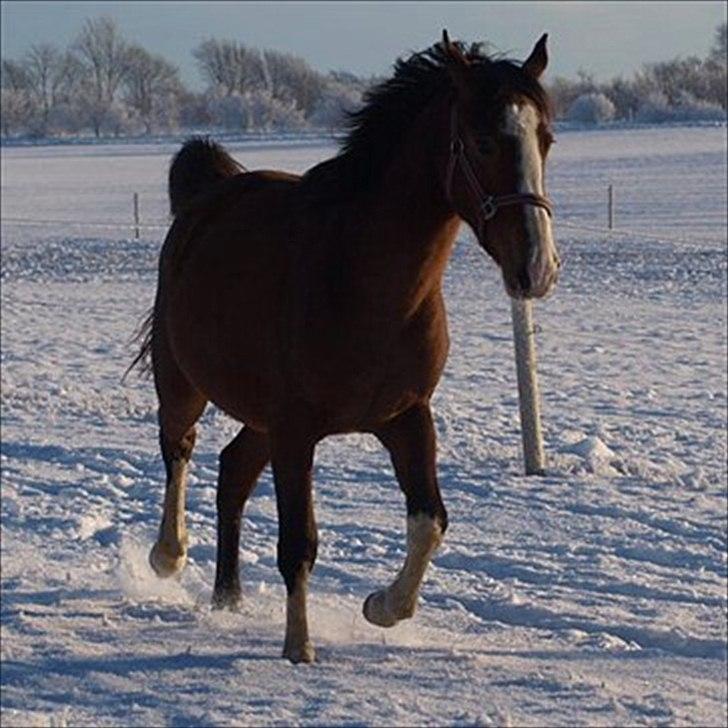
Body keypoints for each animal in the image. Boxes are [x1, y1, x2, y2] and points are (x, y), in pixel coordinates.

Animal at [131, 31, 560, 664]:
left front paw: (382, 607)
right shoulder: (295, 430)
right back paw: (169, 554)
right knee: (179, 450)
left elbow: (431, 521)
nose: (537, 268)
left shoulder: (406, 418)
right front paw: (298, 647)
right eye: (484, 141)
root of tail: (207, 195)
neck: (363, 283)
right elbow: (299, 543)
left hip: (260, 421)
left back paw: (228, 597)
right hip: (183, 384)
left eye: (545, 139)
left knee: (232, 472)